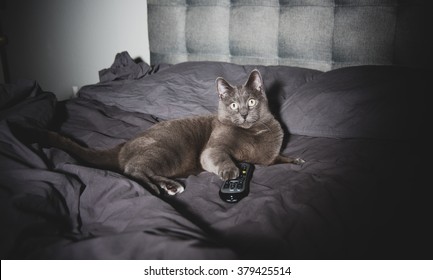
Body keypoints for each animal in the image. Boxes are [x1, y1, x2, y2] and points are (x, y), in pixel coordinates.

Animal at [37, 70, 304, 196]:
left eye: (250, 102)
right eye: (233, 106)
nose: (245, 115)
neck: (255, 132)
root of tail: (123, 145)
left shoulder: (268, 158)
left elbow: (278, 159)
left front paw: (296, 160)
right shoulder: (213, 148)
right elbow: (219, 155)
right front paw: (232, 172)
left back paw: (170, 186)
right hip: (168, 149)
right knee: (133, 169)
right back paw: (167, 187)